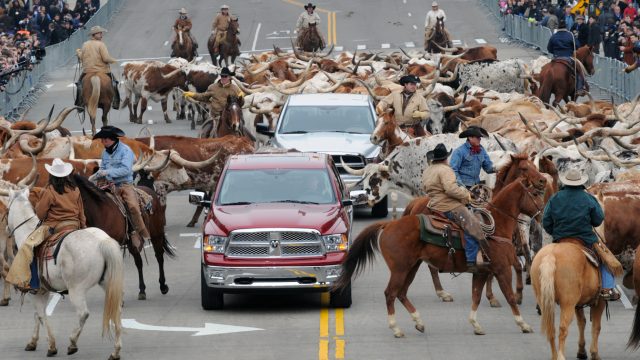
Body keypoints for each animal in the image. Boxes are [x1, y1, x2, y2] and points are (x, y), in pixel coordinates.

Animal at [3, 187, 124, 358]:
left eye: (7, 210)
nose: (6, 229)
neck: (28, 234)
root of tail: (102, 242)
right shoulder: (42, 291)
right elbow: (37, 315)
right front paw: (32, 342)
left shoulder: (36, 291)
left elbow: (41, 315)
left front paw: (51, 346)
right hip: (109, 284)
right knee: (117, 311)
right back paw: (116, 351)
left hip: (76, 290)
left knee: (83, 314)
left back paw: (72, 343)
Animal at [332, 174, 548, 338]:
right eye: (534, 193)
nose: (543, 212)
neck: (497, 226)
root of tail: (389, 224)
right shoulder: (502, 270)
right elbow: (510, 297)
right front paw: (523, 324)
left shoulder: (481, 272)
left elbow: (476, 297)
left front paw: (475, 325)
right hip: (400, 269)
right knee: (390, 293)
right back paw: (397, 328)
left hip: (412, 267)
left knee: (401, 293)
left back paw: (418, 321)